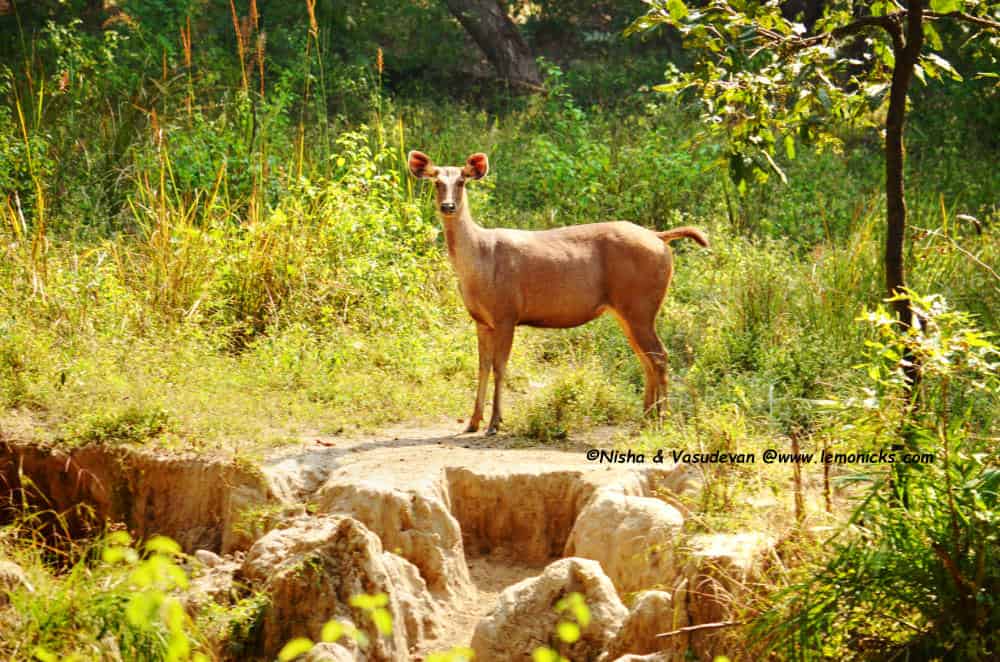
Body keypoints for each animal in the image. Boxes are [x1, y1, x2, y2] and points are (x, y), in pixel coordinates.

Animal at [408, 150, 708, 435]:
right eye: (436, 182)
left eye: (461, 181)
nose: (448, 206)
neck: (479, 260)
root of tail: (658, 237)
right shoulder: (481, 320)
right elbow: (481, 367)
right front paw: (472, 422)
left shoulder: (507, 313)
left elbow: (499, 368)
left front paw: (495, 423)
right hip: (630, 311)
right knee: (646, 358)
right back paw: (645, 419)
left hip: (640, 305)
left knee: (659, 356)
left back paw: (662, 419)